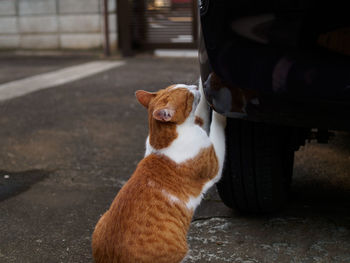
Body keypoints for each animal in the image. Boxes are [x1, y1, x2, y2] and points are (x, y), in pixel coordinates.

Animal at [91, 82, 226, 263]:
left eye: (181, 85)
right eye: (187, 95)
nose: (194, 86)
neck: (162, 143)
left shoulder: (199, 123)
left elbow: (202, 113)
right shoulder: (215, 163)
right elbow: (217, 128)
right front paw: (221, 112)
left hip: (100, 220)